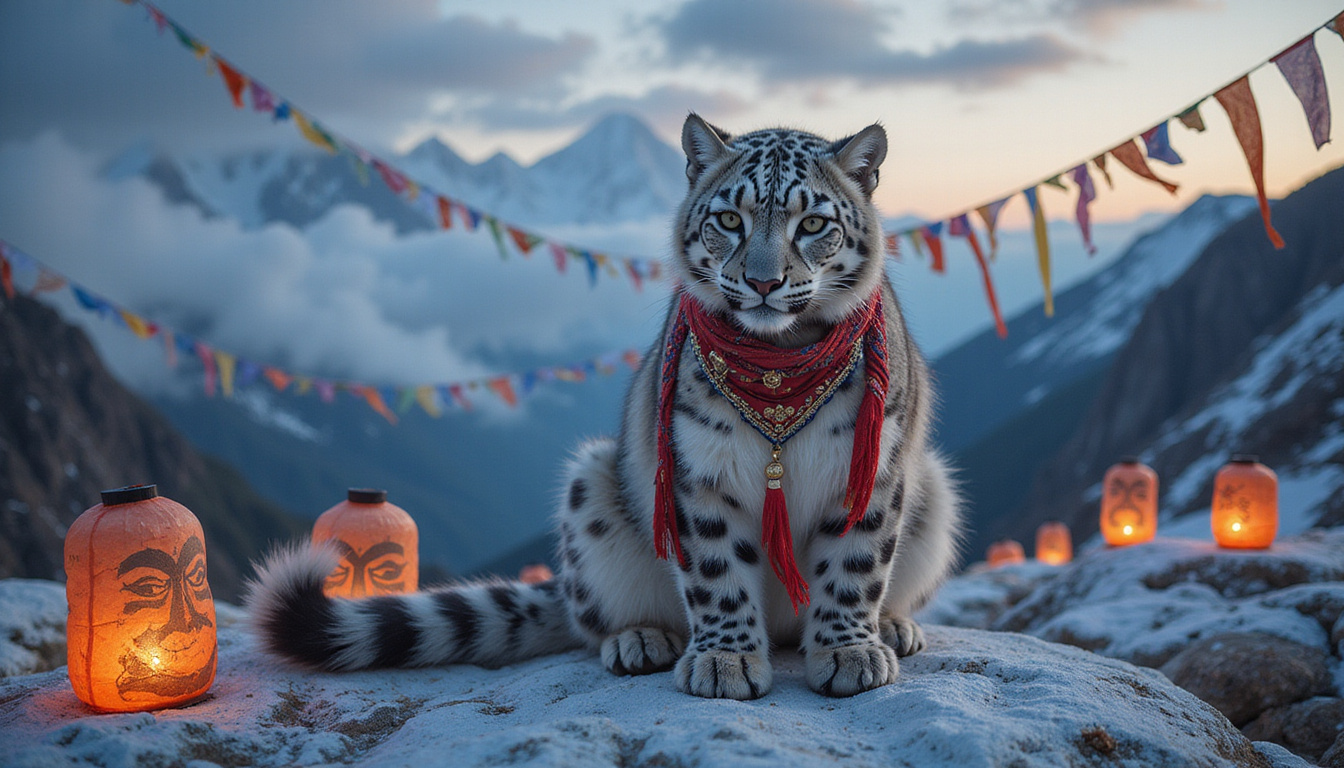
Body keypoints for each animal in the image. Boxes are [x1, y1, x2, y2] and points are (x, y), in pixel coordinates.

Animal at [247, 113, 963, 699]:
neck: (778, 367)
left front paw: (848, 651)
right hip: (590, 490)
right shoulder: (698, 468)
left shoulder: (872, 467)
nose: (763, 282)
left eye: (812, 223)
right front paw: (726, 661)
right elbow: (716, 570)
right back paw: (640, 640)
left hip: (932, 485)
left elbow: (855, 564)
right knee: (595, 621)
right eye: (729, 219)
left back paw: (893, 628)